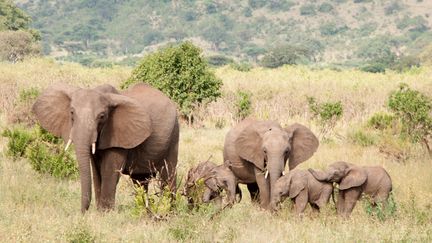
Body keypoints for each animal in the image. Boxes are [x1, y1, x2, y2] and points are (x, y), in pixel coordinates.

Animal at [31, 82, 178, 212]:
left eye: (102, 116)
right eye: (71, 112)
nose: (83, 213)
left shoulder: (117, 134)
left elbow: (109, 170)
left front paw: (105, 213)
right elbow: (96, 172)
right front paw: (99, 212)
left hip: (174, 134)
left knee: (168, 175)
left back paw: (169, 211)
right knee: (140, 180)